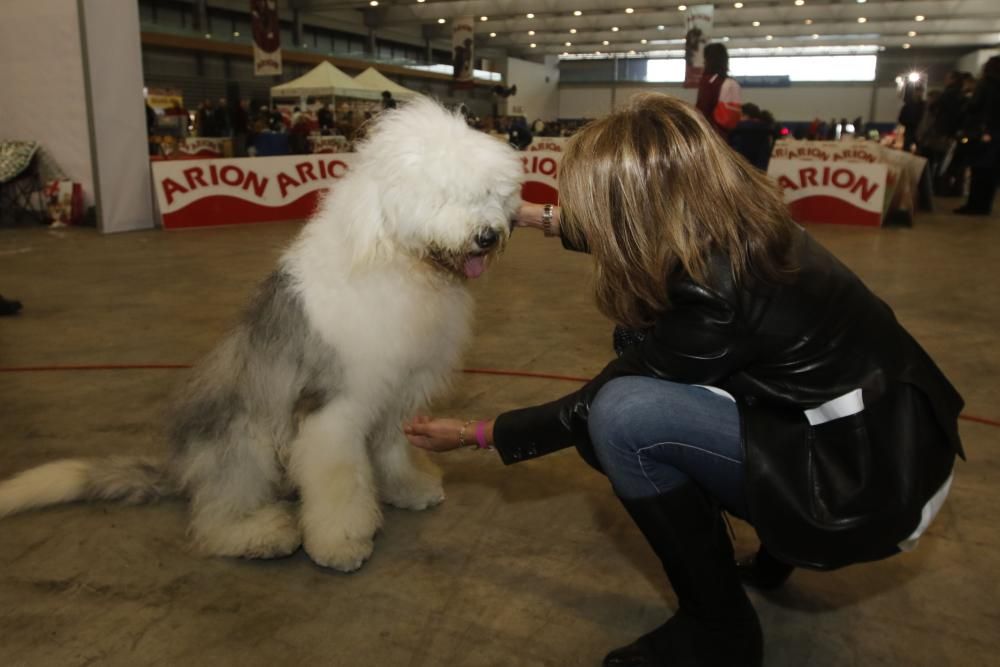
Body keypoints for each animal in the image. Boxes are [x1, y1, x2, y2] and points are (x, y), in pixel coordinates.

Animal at [0, 102, 528, 572]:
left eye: (490, 192)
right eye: (442, 195)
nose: (488, 235)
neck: (396, 261)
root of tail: (182, 469)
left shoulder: (398, 391)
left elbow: (392, 450)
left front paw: (410, 489)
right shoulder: (331, 404)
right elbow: (338, 478)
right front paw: (341, 543)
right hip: (242, 438)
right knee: (215, 516)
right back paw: (261, 533)